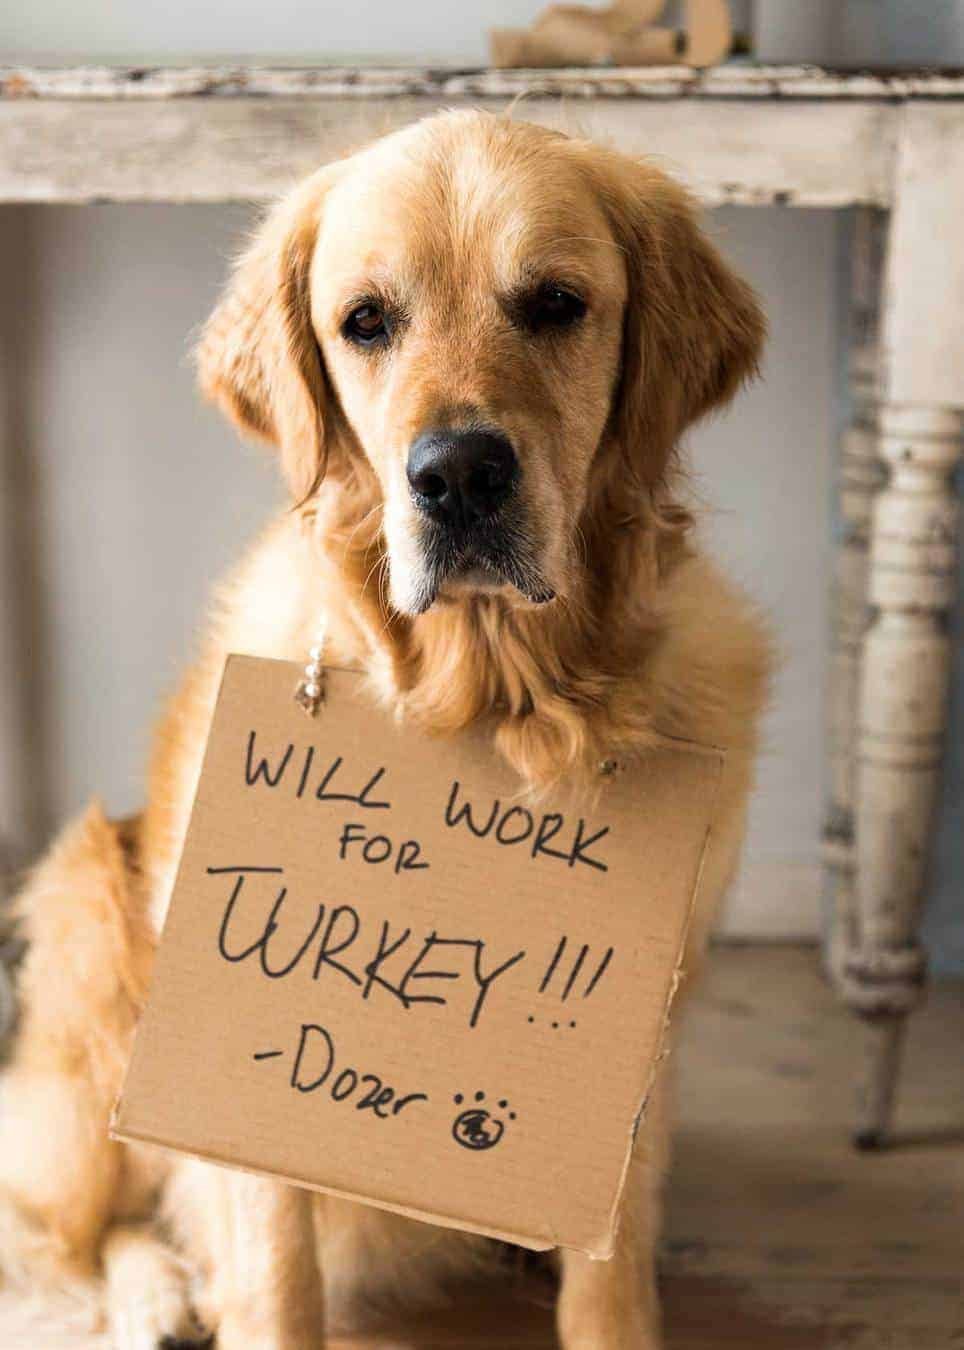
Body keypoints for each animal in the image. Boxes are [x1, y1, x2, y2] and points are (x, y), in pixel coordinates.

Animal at [0, 109, 770, 1349]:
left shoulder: (629, 1072)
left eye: (555, 302)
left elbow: (608, 1287)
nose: (456, 475)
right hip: (85, 924)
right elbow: (276, 1281)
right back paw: (161, 1295)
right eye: (365, 322)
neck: (501, 699)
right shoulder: (236, 1091)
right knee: (85, 1221)